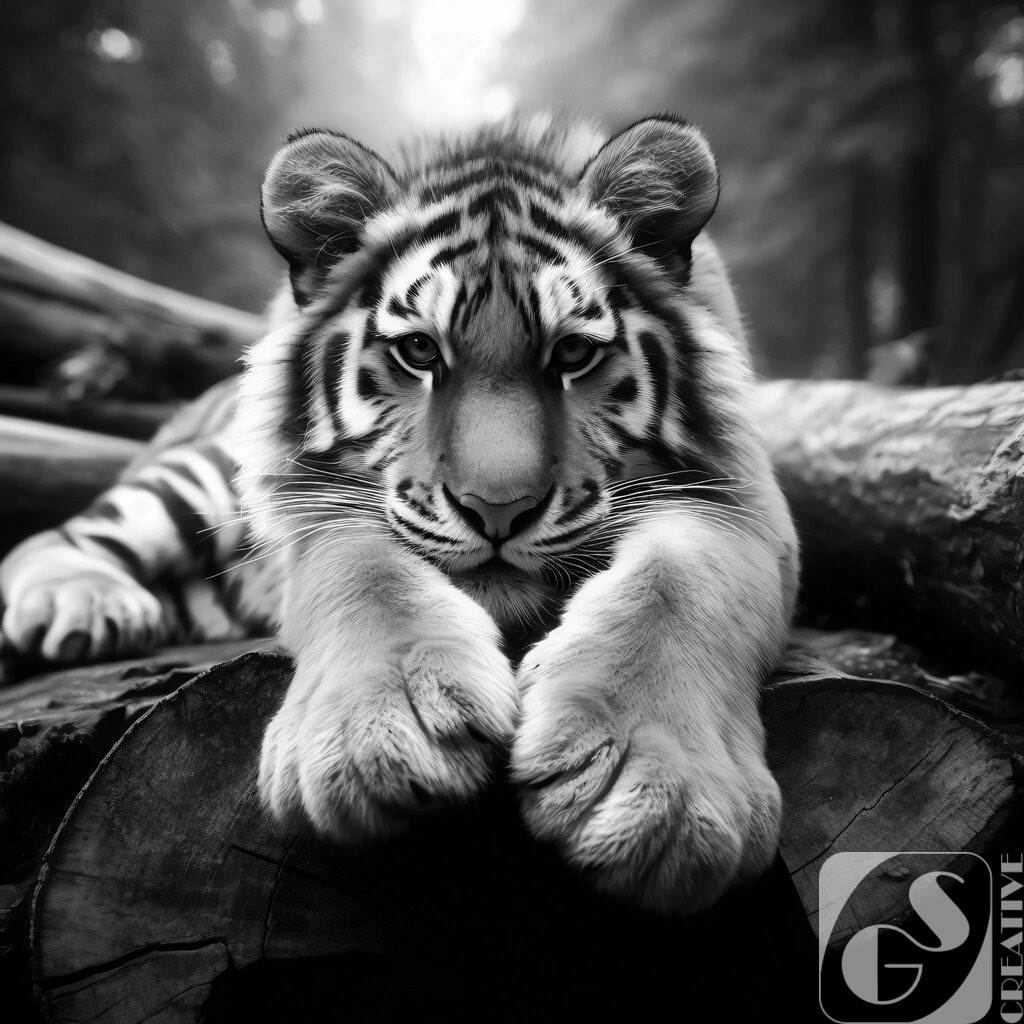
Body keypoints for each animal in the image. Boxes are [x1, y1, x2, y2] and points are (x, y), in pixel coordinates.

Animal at [0, 113, 799, 915]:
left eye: (572, 353)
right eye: (419, 350)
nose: (498, 510)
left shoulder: (740, 505)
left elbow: (679, 588)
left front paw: (654, 785)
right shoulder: (319, 509)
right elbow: (366, 576)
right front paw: (378, 733)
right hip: (197, 476)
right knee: (51, 539)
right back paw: (88, 608)